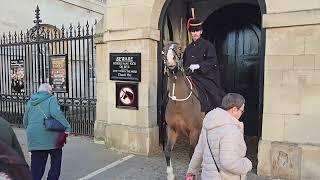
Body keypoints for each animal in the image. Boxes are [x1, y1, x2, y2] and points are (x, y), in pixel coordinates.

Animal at [162, 41, 205, 179]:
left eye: (180, 49)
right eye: (164, 49)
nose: (170, 61)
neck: (179, 104)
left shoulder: (194, 131)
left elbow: (192, 155)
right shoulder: (171, 129)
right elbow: (168, 151)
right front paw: (170, 174)